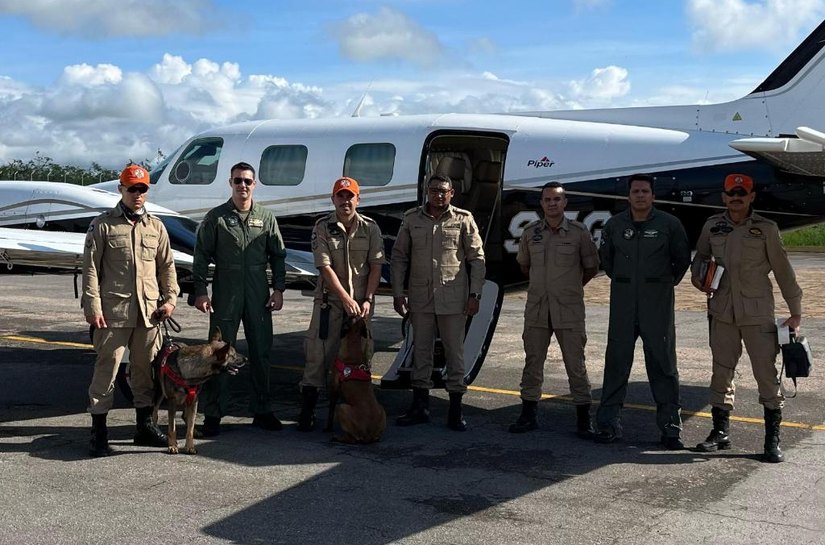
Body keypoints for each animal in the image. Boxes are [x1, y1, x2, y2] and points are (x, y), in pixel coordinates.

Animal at [324, 314, 384, 442]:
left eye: (350, 316)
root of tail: (368, 435)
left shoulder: (334, 387)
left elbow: (330, 410)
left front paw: (328, 428)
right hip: (382, 409)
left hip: (342, 408)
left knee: (353, 438)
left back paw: (338, 437)